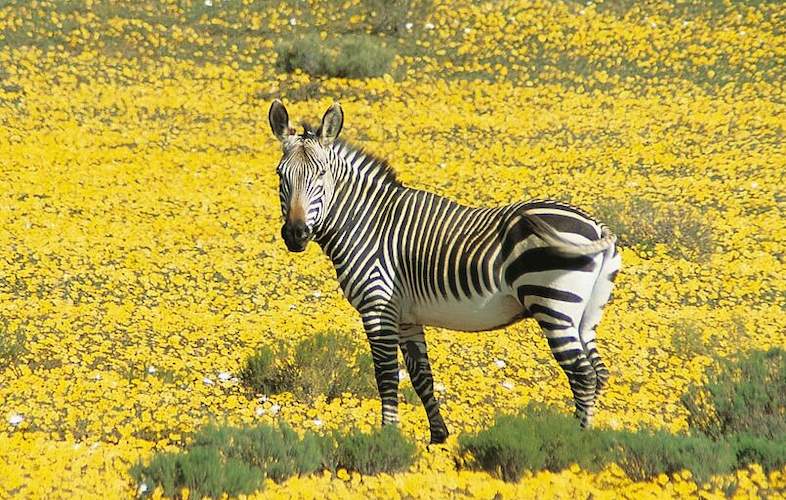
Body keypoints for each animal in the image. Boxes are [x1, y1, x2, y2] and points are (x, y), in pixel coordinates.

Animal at [268, 100, 621, 444]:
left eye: (321, 174)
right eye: (280, 174)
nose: (296, 234)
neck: (366, 222)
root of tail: (596, 225)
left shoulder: (378, 307)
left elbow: (386, 376)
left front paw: (388, 439)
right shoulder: (406, 316)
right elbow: (421, 376)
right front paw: (438, 439)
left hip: (553, 303)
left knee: (582, 375)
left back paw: (577, 442)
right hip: (586, 315)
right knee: (598, 372)